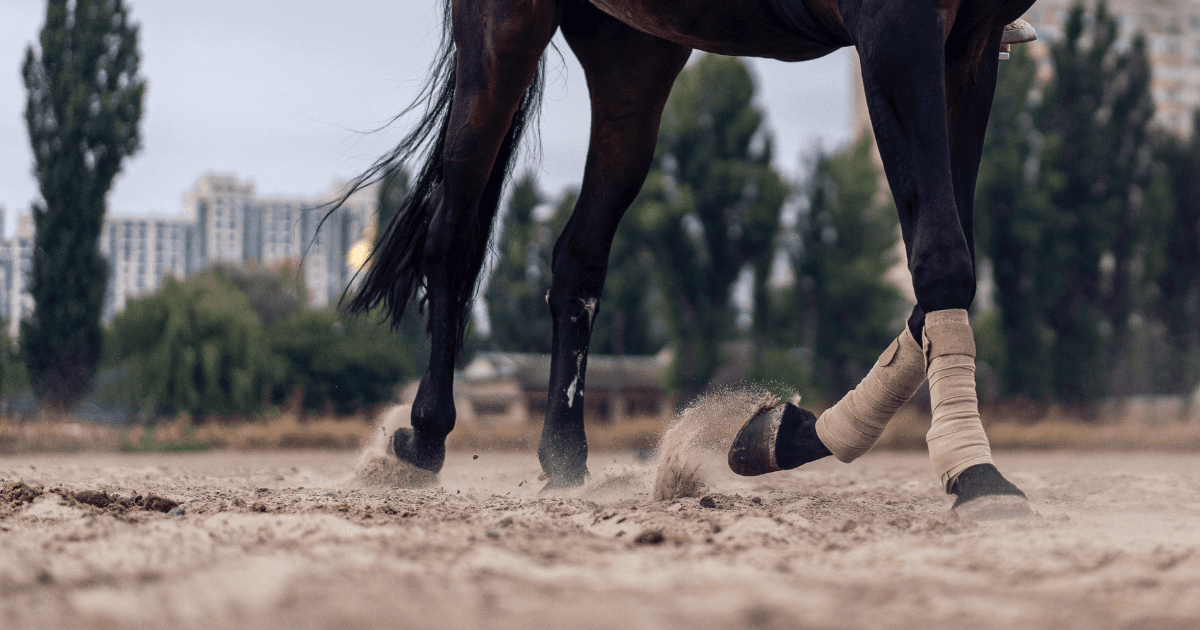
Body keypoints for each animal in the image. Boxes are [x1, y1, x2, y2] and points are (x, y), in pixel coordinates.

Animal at [343, 0, 1036, 516]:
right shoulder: (897, 29)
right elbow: (942, 254)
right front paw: (976, 474)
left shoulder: (969, 47)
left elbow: (945, 260)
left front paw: (785, 436)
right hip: (502, 34)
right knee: (453, 235)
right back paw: (423, 437)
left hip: (634, 56)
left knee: (578, 256)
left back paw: (564, 459)